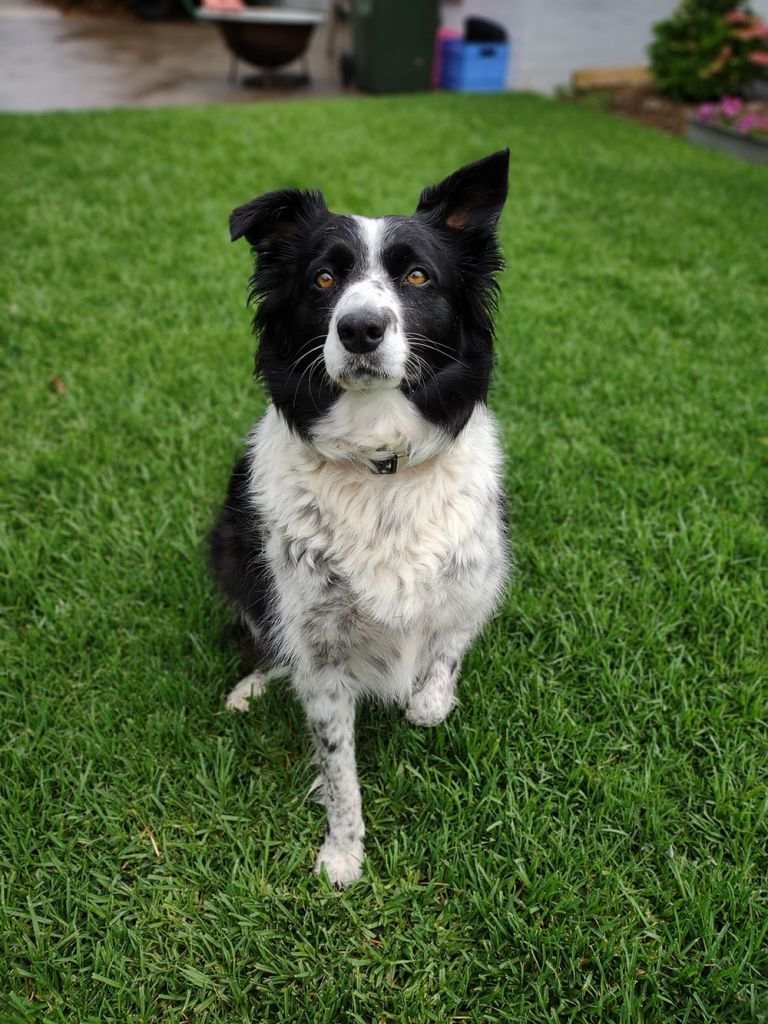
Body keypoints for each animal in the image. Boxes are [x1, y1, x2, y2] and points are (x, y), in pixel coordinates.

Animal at [210, 151, 512, 888]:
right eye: (323, 278)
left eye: (417, 276)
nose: (360, 328)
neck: (382, 467)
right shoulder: (320, 648)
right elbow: (337, 764)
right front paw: (343, 852)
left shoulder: (480, 574)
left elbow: (444, 658)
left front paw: (429, 698)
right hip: (228, 546)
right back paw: (252, 684)